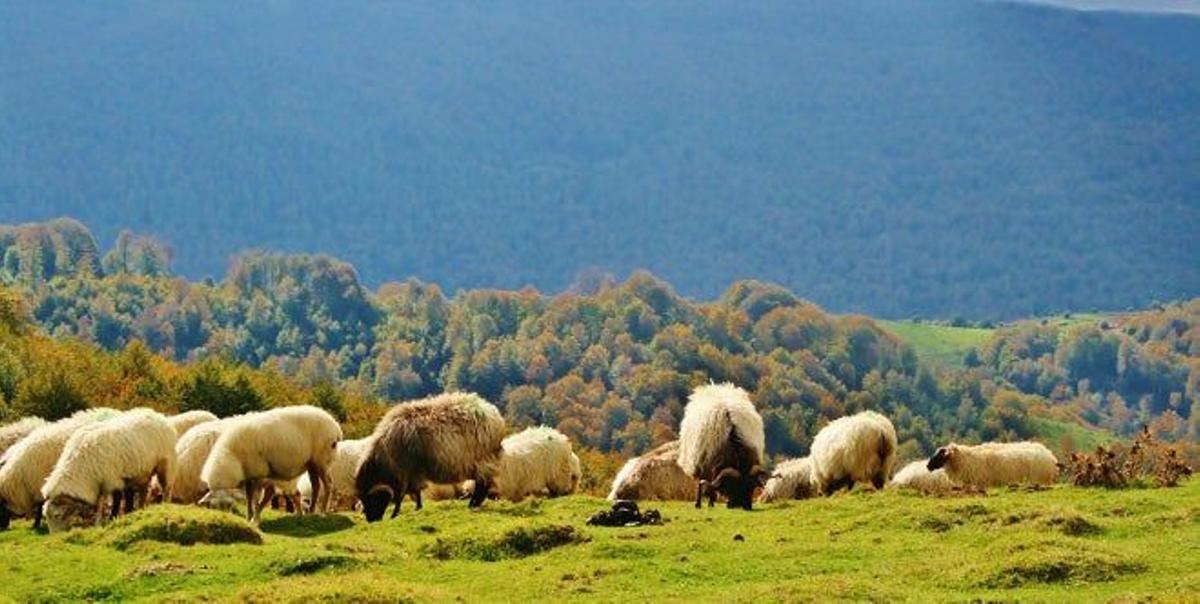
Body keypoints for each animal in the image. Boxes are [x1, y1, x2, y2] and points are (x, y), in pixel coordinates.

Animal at [41, 409, 177, 532]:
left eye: (57, 515)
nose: (55, 536)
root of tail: (158, 415)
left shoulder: (110, 479)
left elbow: (113, 499)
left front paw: (109, 518)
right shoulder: (99, 482)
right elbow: (101, 502)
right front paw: (102, 521)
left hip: (165, 464)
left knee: (167, 488)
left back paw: (164, 505)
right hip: (143, 471)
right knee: (143, 491)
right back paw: (140, 509)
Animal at [199, 405, 341, 523]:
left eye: (228, 506)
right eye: (212, 507)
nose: (224, 518)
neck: (233, 456)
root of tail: (334, 425)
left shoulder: (259, 471)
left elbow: (256, 497)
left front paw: (255, 519)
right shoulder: (249, 474)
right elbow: (249, 496)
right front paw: (249, 517)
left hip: (322, 460)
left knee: (328, 484)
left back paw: (323, 512)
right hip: (311, 463)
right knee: (316, 486)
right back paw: (311, 512)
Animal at [355, 392, 505, 522]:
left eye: (372, 500)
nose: (371, 520)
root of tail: (494, 415)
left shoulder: (403, 473)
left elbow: (400, 496)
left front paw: (395, 514)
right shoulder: (413, 473)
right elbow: (416, 491)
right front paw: (418, 507)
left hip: (483, 461)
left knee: (482, 485)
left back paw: (473, 504)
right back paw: (474, 504)